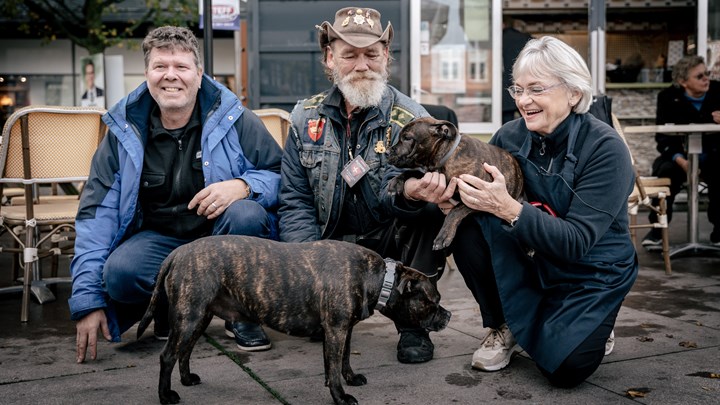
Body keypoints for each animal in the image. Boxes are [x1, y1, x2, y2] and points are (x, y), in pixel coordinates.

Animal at [388, 116, 524, 249]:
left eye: (407, 138)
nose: (388, 151)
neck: (444, 157)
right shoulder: (430, 174)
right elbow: (413, 172)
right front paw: (396, 182)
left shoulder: (478, 195)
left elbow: (455, 211)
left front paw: (444, 235)